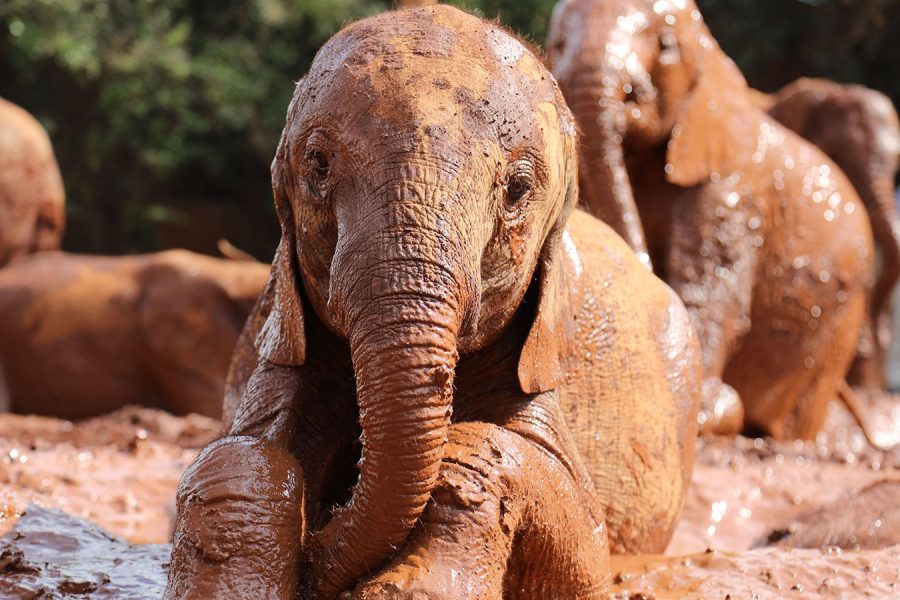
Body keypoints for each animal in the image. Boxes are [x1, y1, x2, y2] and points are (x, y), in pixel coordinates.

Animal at [544, 0, 876, 440]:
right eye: (558, 44)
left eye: (666, 47)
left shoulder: (732, 188)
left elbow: (714, 287)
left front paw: (704, 411)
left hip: (842, 326)